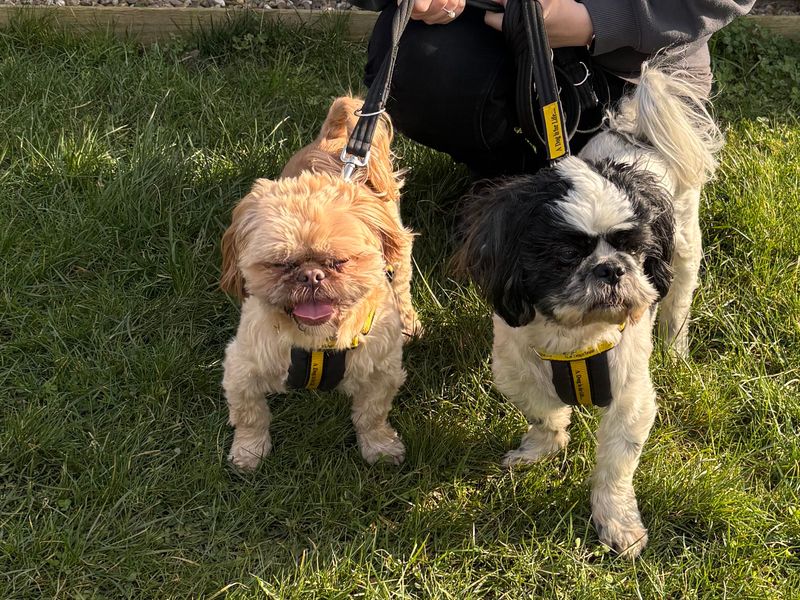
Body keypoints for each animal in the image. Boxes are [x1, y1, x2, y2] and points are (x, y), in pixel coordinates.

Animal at [456, 63, 724, 556]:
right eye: (565, 256)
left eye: (633, 248)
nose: (611, 269)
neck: (574, 340)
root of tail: (634, 131)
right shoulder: (516, 370)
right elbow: (543, 411)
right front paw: (541, 448)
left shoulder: (630, 396)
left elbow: (616, 466)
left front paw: (617, 522)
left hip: (683, 251)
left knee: (677, 304)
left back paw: (676, 349)